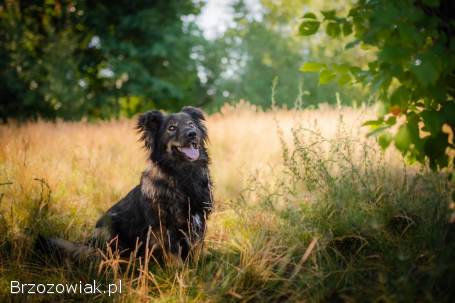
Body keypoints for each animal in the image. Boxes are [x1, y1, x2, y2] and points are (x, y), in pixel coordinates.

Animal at [40, 107, 215, 262]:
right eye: (171, 128)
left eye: (191, 124)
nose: (192, 134)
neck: (184, 174)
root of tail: (89, 246)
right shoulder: (164, 226)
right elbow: (174, 255)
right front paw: (177, 274)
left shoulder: (199, 221)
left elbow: (196, 252)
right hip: (108, 227)